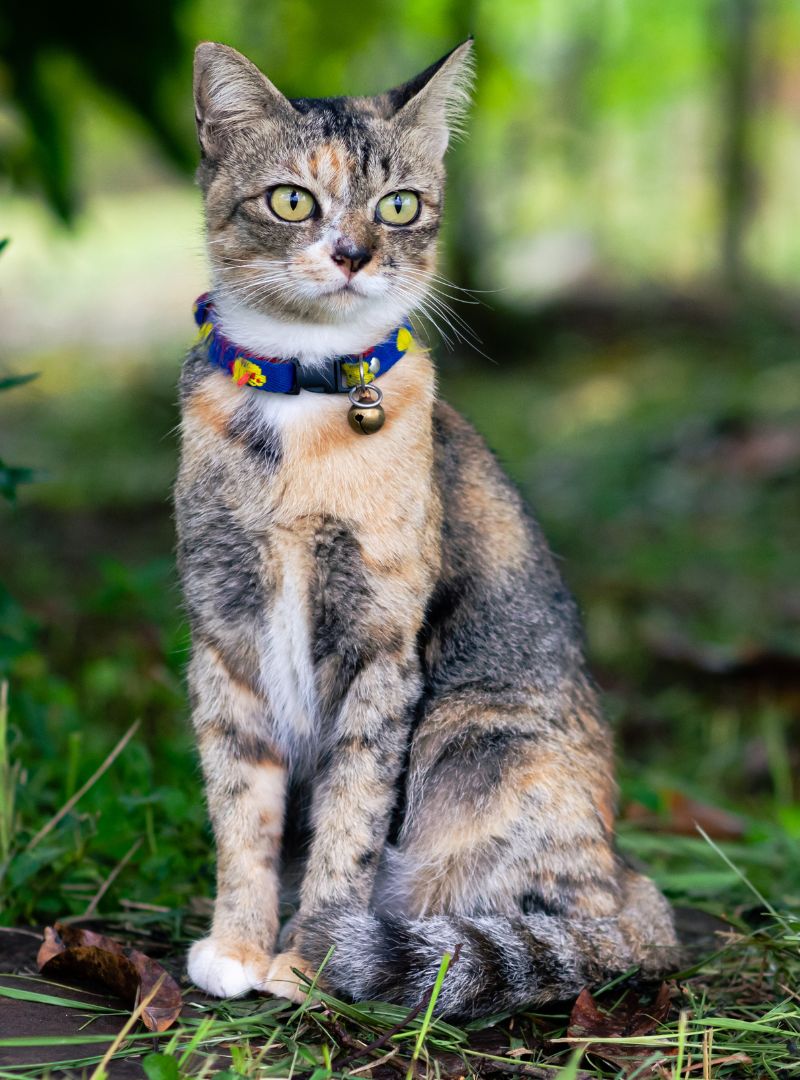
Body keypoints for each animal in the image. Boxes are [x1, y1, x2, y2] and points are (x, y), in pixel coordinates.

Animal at [175, 39, 682, 1019]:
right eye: (292, 199)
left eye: (399, 204)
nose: (353, 252)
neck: (302, 400)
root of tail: (628, 881)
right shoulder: (224, 638)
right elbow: (240, 806)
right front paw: (241, 944)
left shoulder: (382, 649)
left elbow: (351, 816)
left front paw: (310, 956)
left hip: (479, 737)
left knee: (553, 927)